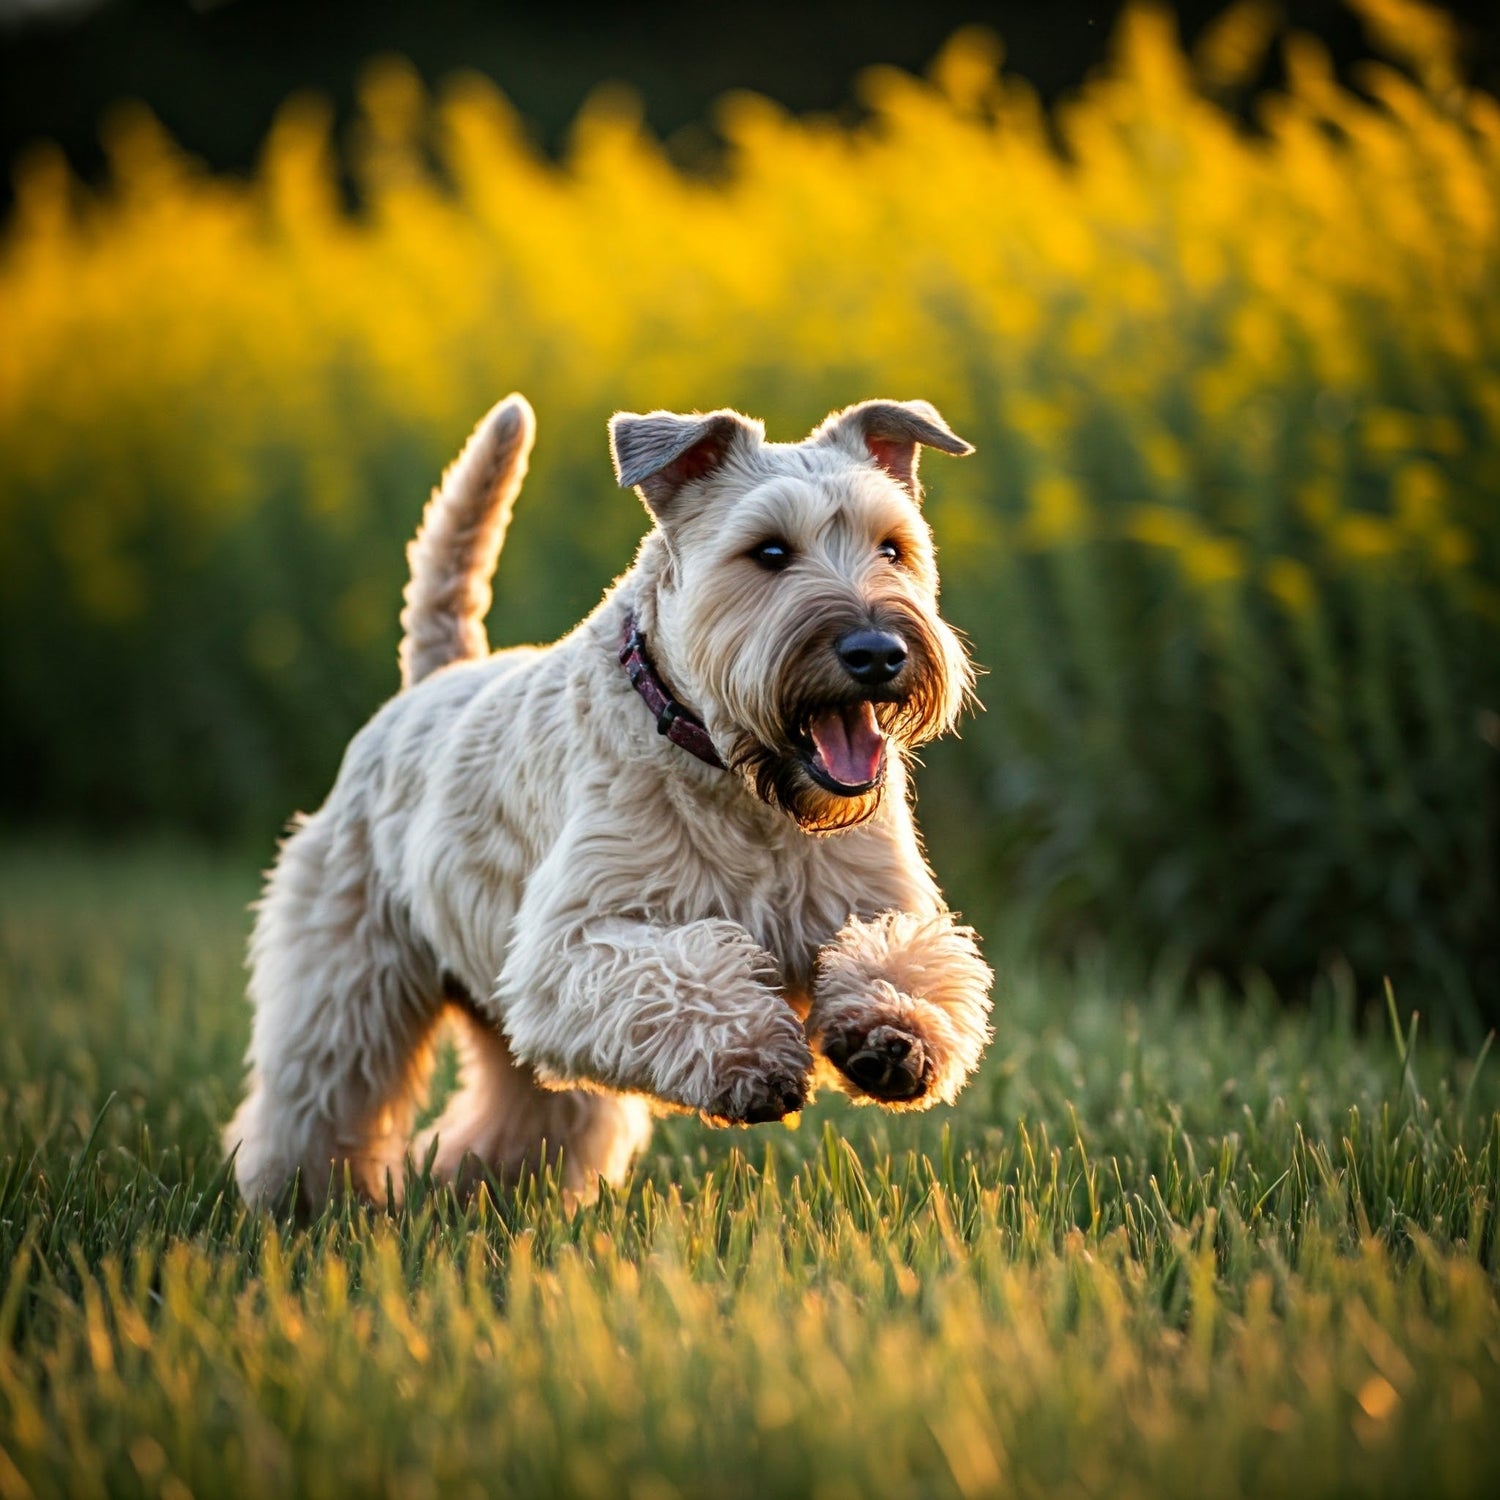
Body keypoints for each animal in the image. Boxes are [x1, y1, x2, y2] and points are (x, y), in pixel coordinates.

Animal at [222, 396, 996, 1206]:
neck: (741, 789)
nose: (876, 652)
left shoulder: (875, 902)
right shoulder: (575, 943)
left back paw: (480, 1190)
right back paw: (297, 1202)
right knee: (319, 1092)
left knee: (526, 1110)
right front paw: (750, 1057)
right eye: (769, 552)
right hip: (348, 973)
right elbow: (686, 977)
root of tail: (430, 680)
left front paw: (892, 1033)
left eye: (892, 548)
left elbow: (903, 955)